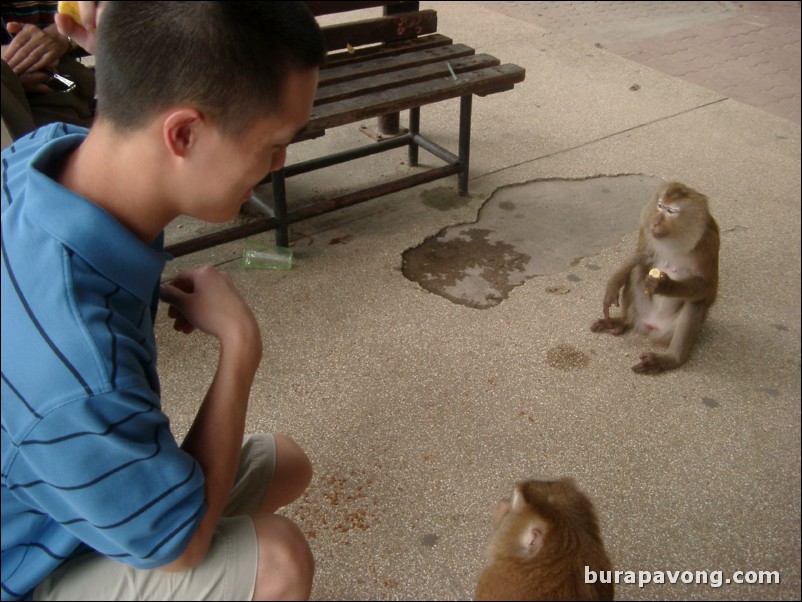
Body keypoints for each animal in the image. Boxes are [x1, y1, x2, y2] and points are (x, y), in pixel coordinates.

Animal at [592, 180, 716, 372]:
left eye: (670, 211)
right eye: (660, 205)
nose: (656, 222)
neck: (674, 239)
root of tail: (651, 325)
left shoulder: (708, 243)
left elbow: (706, 288)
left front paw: (666, 286)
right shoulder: (647, 233)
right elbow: (642, 256)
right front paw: (614, 283)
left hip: (668, 332)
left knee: (696, 302)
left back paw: (671, 358)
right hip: (642, 312)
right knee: (636, 269)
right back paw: (623, 321)